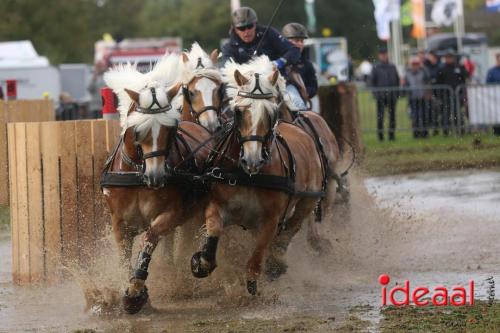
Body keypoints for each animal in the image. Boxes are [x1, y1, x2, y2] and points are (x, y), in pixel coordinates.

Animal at [100, 58, 212, 312]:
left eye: (170, 129)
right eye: (138, 130)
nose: (156, 176)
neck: (137, 175)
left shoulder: (169, 213)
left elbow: (149, 239)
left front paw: (136, 291)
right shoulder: (119, 223)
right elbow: (124, 257)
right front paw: (131, 289)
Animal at [189, 56, 326, 294]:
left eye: (271, 113)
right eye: (238, 112)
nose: (252, 159)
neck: (249, 176)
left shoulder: (270, 221)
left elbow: (256, 260)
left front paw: (255, 285)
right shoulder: (217, 205)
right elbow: (213, 230)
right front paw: (201, 262)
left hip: (307, 202)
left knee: (291, 230)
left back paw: (277, 262)